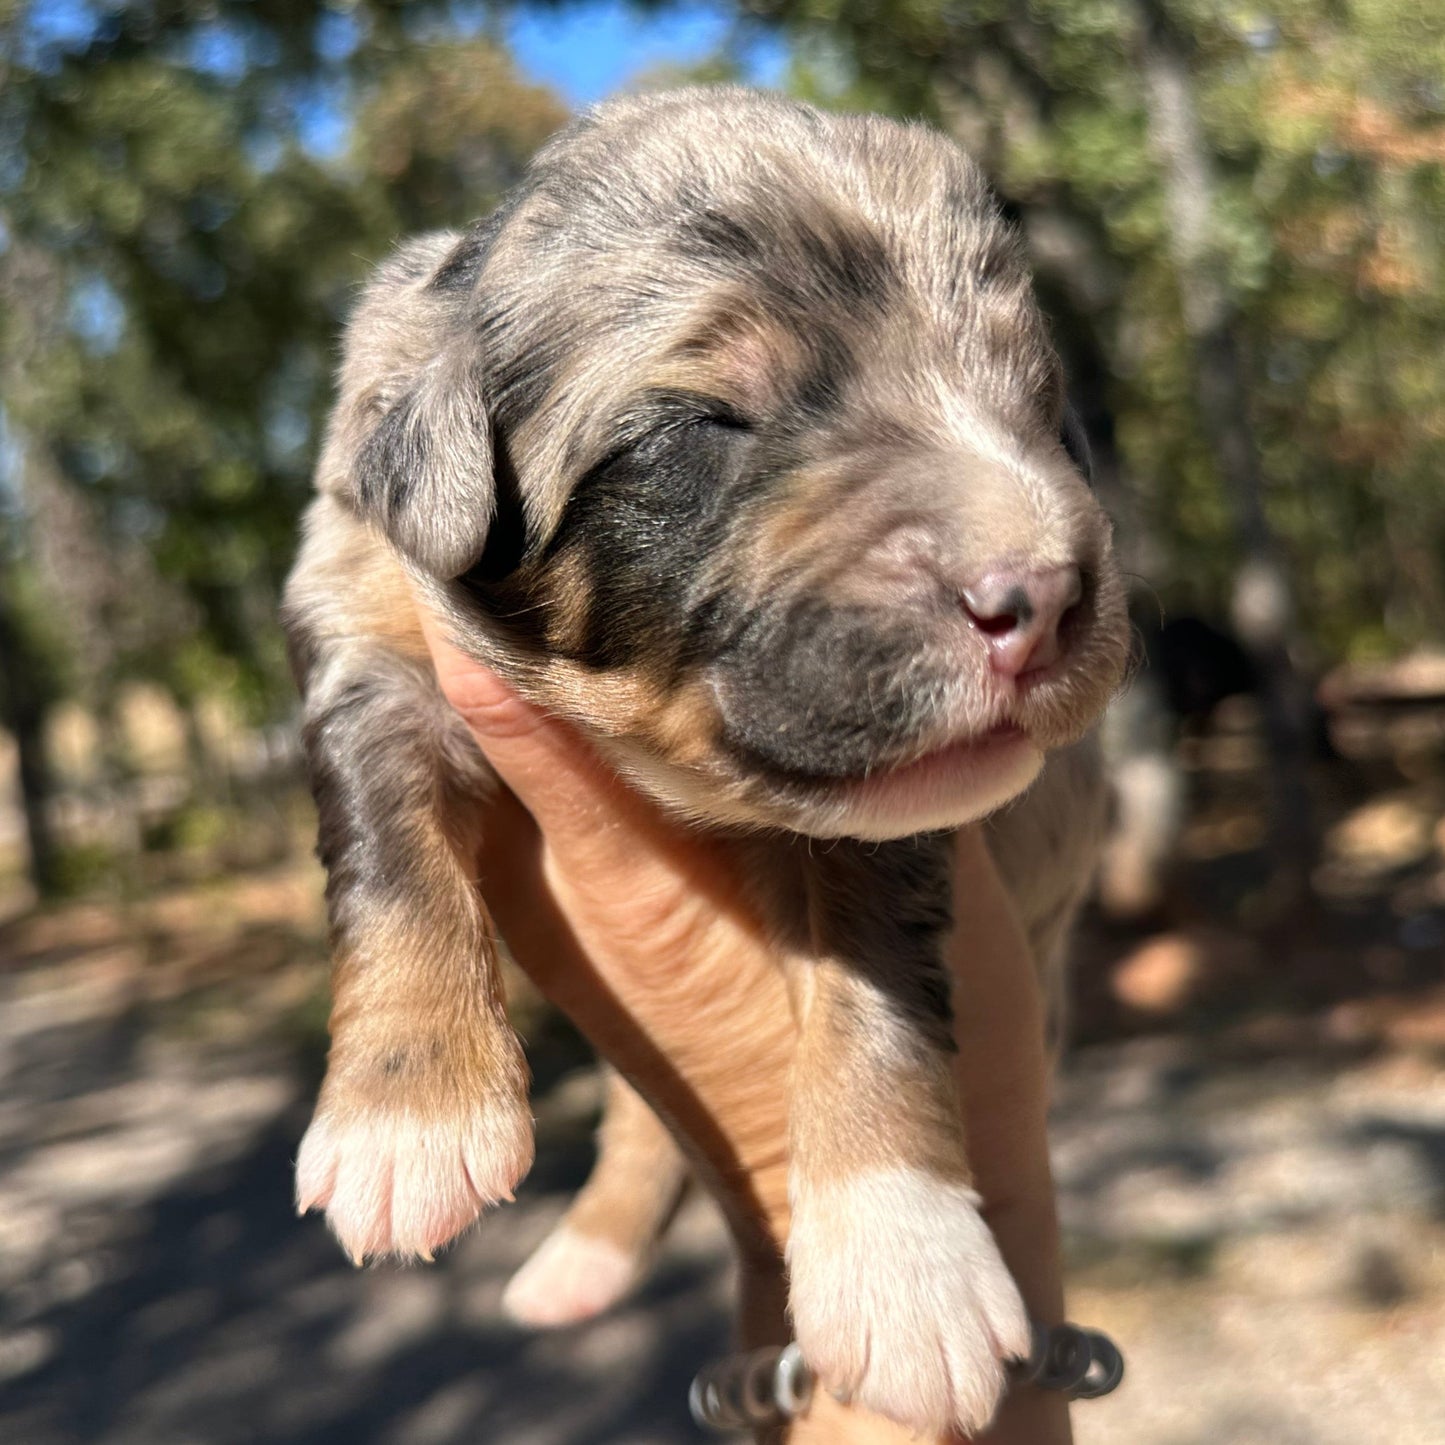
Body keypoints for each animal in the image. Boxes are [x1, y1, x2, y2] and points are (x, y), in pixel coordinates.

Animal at [281, 87, 1127, 1433]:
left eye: (1040, 403)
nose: (1044, 596)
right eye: (698, 426)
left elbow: (877, 992)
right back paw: (573, 1260)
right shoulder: (360, 614)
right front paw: (401, 1121)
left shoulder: (887, 821)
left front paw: (906, 1265)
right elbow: (389, 851)